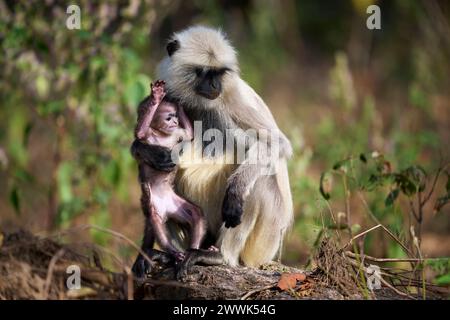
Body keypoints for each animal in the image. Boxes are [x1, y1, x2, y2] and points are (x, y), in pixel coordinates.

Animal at [131, 80, 222, 278]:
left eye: (175, 117)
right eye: (168, 117)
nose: (174, 121)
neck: (163, 135)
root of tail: (166, 209)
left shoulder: (178, 133)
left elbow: (189, 134)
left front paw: (178, 101)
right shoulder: (148, 135)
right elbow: (140, 133)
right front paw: (155, 98)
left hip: (176, 204)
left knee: (196, 214)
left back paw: (194, 252)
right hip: (155, 207)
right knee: (157, 224)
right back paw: (174, 254)